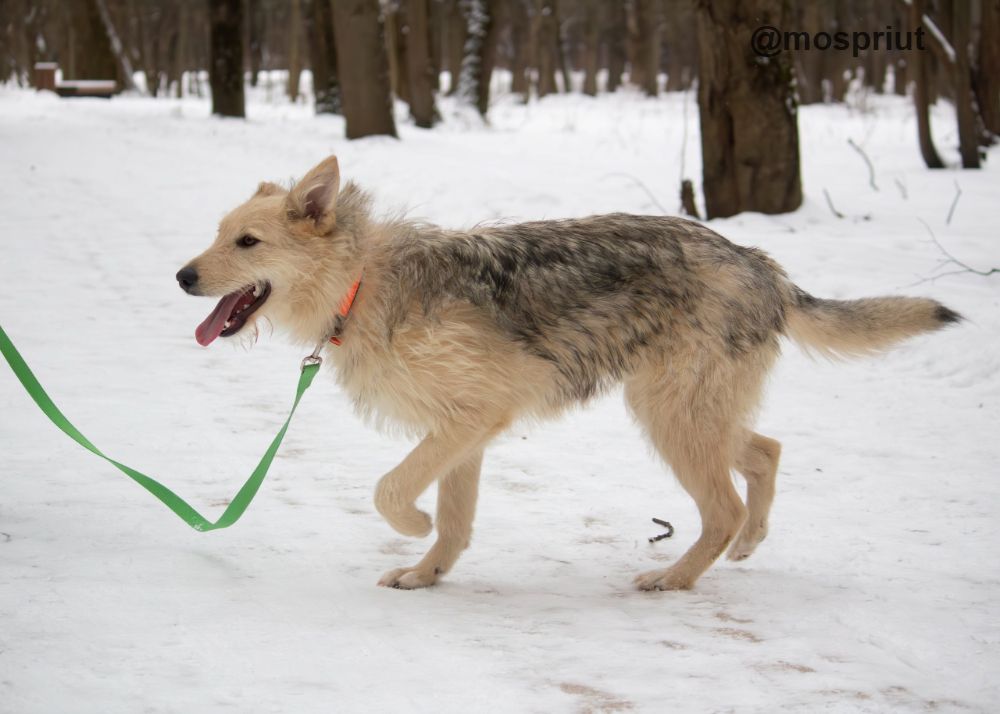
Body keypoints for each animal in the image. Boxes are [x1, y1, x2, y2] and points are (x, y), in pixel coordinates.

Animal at [178, 156, 960, 588]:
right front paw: (427, 573)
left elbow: (391, 490)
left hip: (670, 417)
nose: (183, 276)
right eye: (217, 234)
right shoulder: (464, 432)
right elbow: (455, 523)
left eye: (247, 242)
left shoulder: (469, 421)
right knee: (766, 453)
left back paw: (674, 578)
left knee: (725, 505)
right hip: (685, 412)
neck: (363, 283)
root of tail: (760, 262)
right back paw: (746, 546)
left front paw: (413, 525)